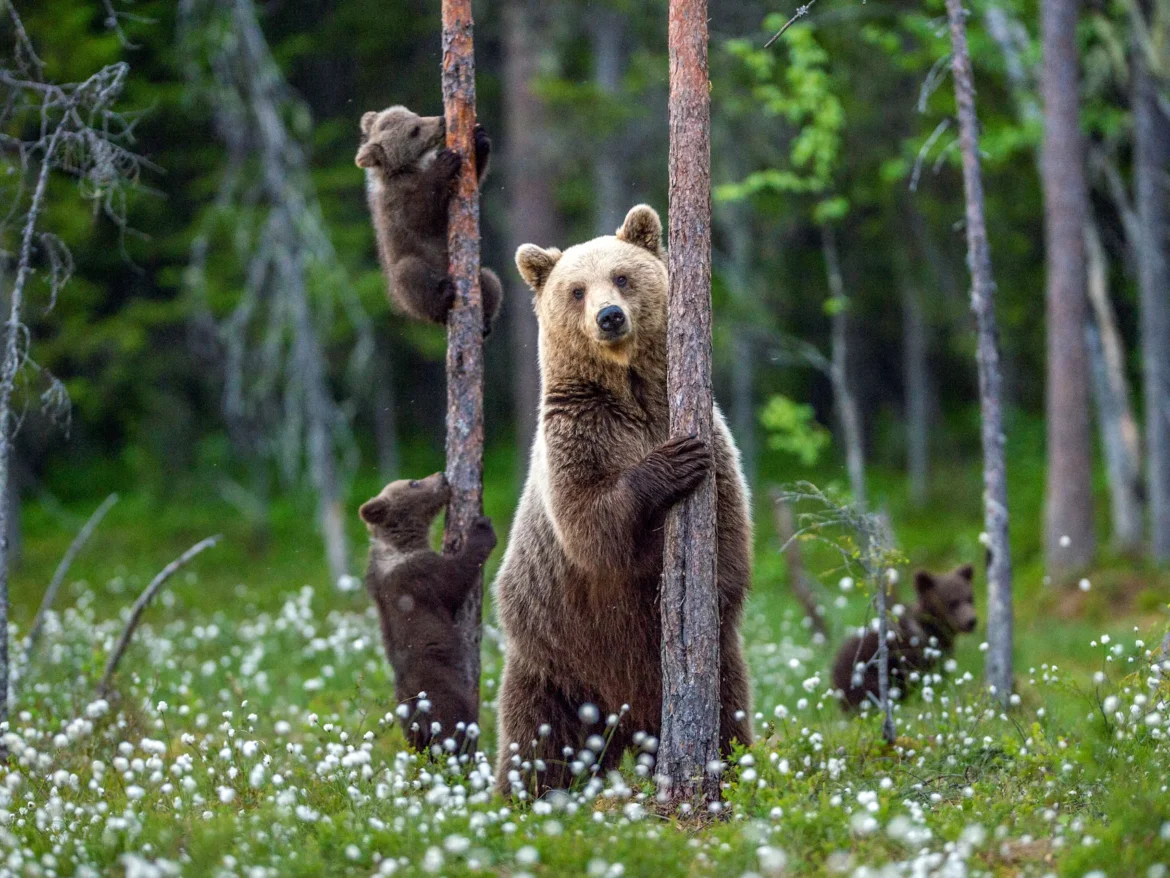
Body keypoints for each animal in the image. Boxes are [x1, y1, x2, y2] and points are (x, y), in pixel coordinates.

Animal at [355, 104, 503, 337]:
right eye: (414, 130)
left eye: (415, 115)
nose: (442, 120)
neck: (408, 168)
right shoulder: (397, 202)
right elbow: (420, 216)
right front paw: (445, 163)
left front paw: (480, 139)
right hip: (405, 282)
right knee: (410, 274)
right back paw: (443, 297)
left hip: (479, 276)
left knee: (490, 279)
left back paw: (486, 321)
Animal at [355, 470, 493, 753]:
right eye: (414, 483)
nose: (441, 475)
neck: (400, 545)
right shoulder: (420, 576)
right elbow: (456, 579)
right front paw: (482, 528)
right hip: (443, 692)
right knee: (456, 724)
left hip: (405, 716)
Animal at [491, 204, 748, 796]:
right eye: (576, 290)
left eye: (623, 276)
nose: (609, 316)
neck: (630, 391)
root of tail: (628, 723)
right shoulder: (578, 435)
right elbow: (591, 525)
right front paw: (671, 464)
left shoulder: (709, 432)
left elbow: (728, 532)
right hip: (554, 661)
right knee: (537, 744)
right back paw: (519, 799)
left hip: (712, 670)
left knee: (730, 713)